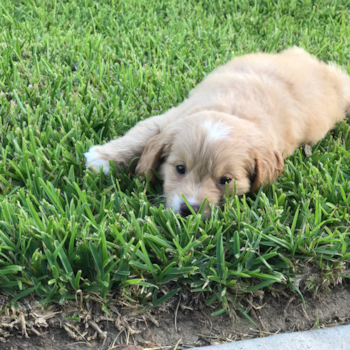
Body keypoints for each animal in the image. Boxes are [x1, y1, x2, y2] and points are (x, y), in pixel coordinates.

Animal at [85, 47, 350, 217]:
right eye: (180, 168)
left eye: (225, 181)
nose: (189, 210)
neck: (230, 109)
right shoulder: (171, 118)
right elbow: (142, 132)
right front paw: (103, 159)